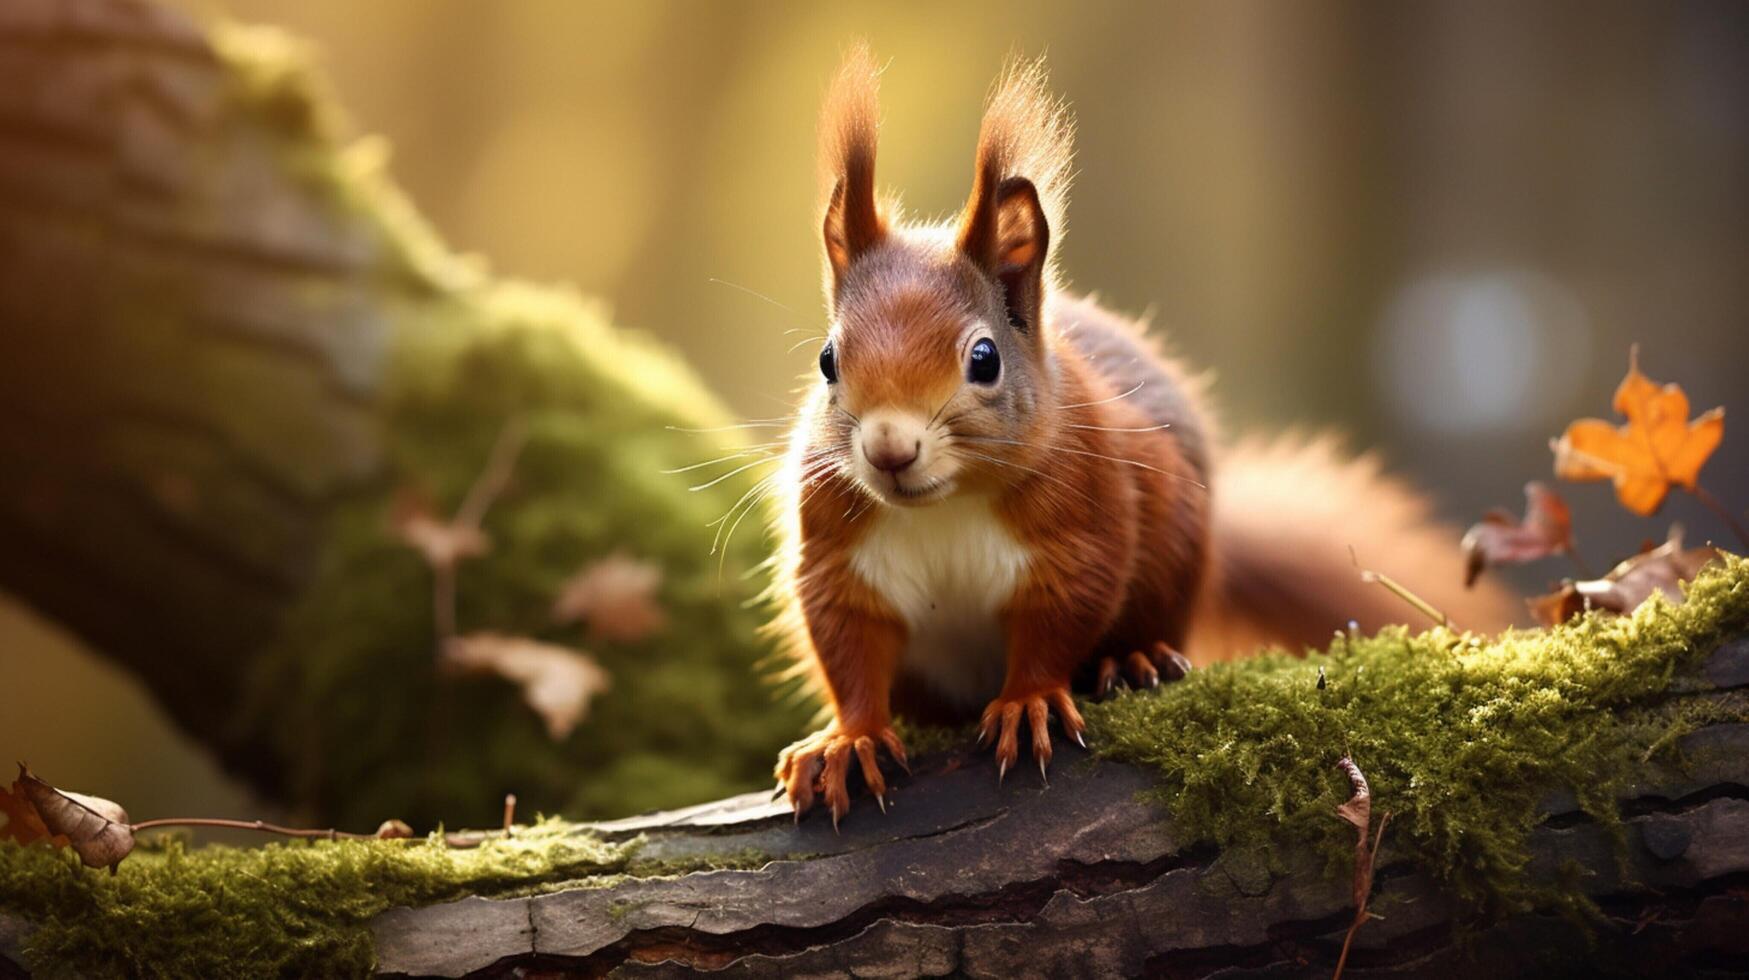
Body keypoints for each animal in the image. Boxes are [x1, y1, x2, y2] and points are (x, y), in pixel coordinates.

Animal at [769, 49, 1518, 822]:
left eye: (983, 359)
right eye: (827, 361)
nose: (889, 450)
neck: (944, 505)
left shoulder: (1084, 520)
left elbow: (1059, 619)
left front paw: (1029, 700)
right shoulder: (838, 553)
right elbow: (847, 646)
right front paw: (848, 739)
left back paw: (1133, 660)